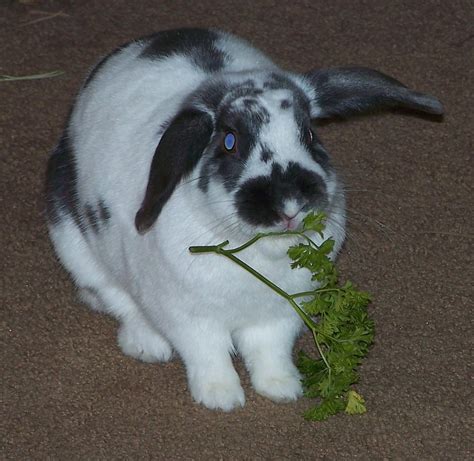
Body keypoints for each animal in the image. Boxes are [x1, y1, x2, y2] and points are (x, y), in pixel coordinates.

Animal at [45, 27, 444, 410]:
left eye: (309, 133)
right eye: (230, 141)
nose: (290, 204)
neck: (257, 253)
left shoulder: (280, 316)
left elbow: (269, 353)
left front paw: (283, 389)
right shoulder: (189, 319)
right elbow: (208, 356)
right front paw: (220, 398)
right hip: (74, 246)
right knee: (116, 298)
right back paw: (148, 345)